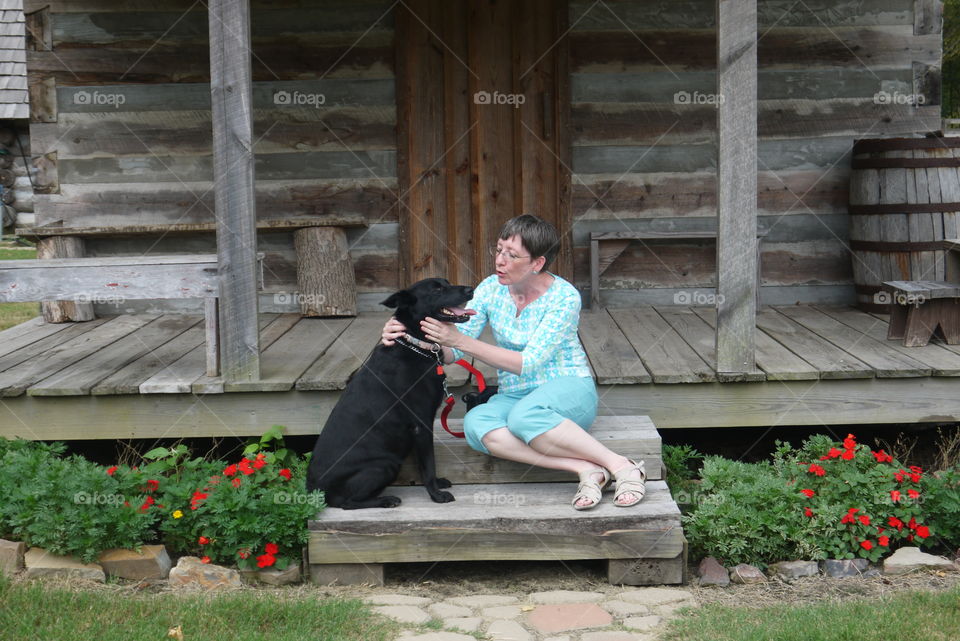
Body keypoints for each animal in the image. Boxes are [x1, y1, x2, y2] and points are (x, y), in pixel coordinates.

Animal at [306, 278, 474, 508]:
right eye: (437, 289)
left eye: (447, 283)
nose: (471, 289)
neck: (415, 345)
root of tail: (314, 491)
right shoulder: (421, 424)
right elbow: (428, 464)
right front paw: (436, 494)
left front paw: (438, 485)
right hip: (385, 465)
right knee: (346, 503)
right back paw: (387, 500)